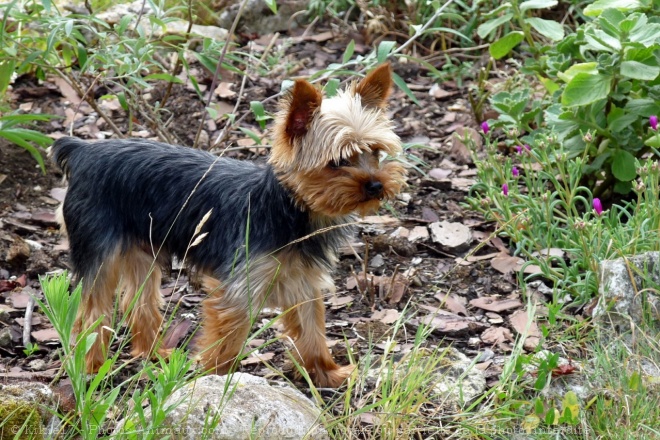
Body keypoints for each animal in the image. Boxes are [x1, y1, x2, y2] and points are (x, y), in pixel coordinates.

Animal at [49, 63, 408, 386]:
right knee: (91, 313)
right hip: (99, 248)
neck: (288, 212)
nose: (376, 185)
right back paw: (92, 368)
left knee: (138, 304)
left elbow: (312, 329)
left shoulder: (303, 282)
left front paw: (327, 373)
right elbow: (227, 341)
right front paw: (215, 381)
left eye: (375, 152)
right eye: (337, 162)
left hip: (143, 249)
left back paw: (155, 355)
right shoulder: (238, 288)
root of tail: (83, 152)